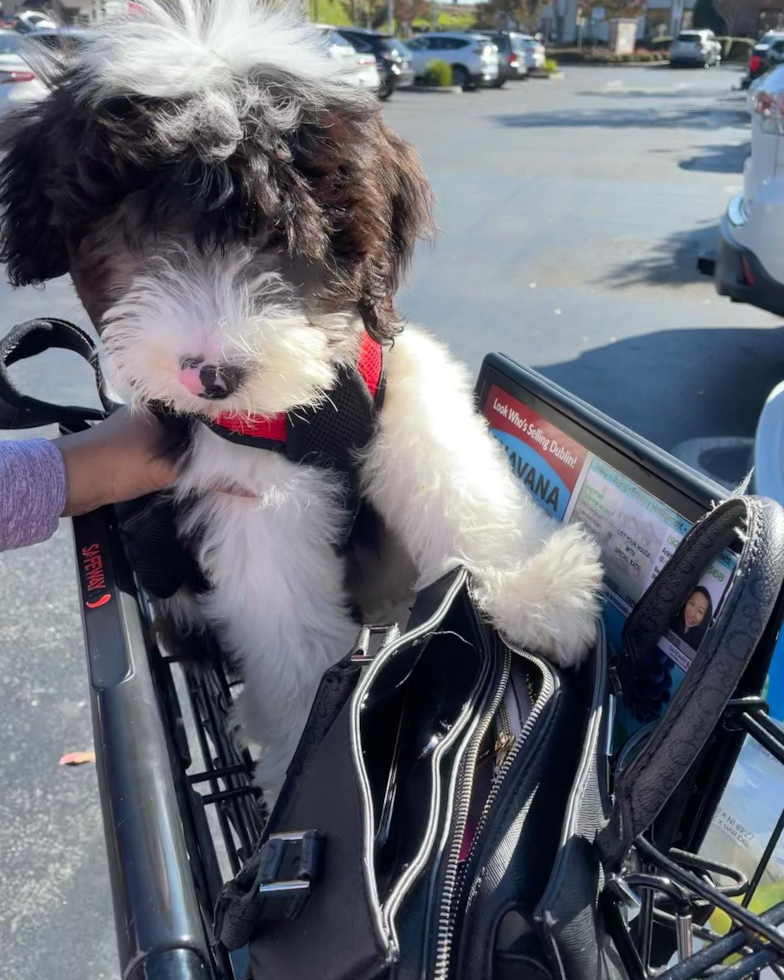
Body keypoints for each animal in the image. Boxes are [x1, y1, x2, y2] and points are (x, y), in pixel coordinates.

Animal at [0, 0, 604, 796]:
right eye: (135, 235)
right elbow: (287, 625)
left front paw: (536, 590)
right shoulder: (242, 497)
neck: (300, 413)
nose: (211, 376)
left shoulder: (398, 382)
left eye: (284, 242)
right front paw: (307, 753)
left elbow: (456, 480)